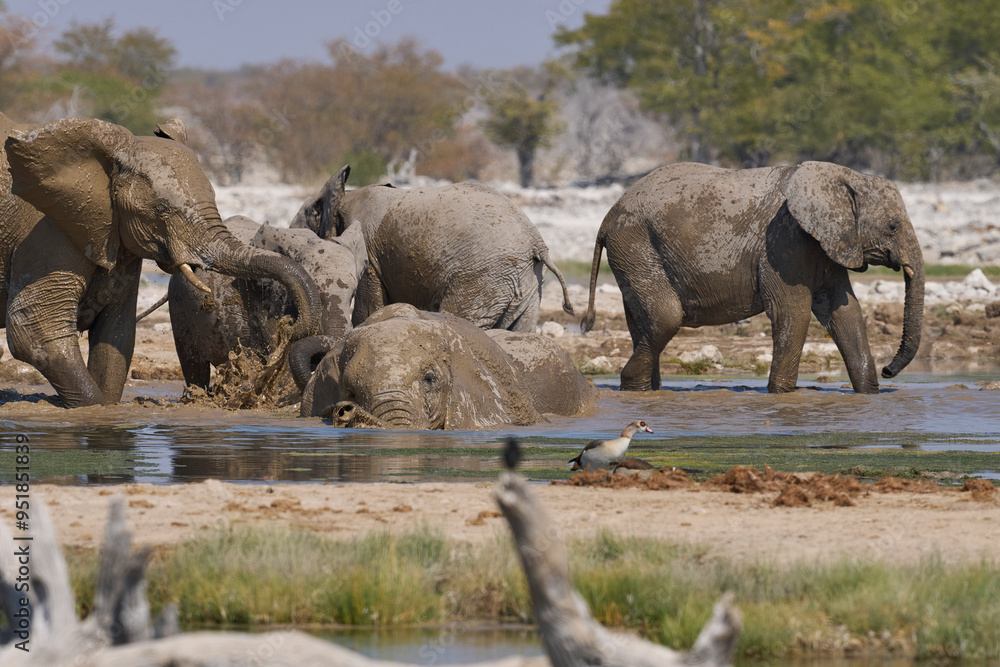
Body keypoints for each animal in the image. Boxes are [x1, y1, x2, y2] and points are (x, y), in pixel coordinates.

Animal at [0, 114, 322, 407]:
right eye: (162, 209)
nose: (291, 325)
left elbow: (116, 335)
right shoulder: (48, 229)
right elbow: (36, 333)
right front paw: (94, 411)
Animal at [167, 216, 364, 389]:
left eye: (353, 294)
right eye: (317, 294)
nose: (289, 323)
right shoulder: (263, 301)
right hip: (179, 307)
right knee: (194, 367)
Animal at [289, 165, 575, 331]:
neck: (345, 196)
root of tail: (537, 243)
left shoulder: (370, 256)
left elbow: (368, 311)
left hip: (484, 279)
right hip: (526, 285)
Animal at [581, 161, 924, 394]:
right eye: (893, 226)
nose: (888, 370)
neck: (844, 178)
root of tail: (610, 213)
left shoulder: (828, 244)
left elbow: (846, 313)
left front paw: (868, 393)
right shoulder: (784, 241)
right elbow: (794, 312)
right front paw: (781, 395)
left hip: (633, 253)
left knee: (644, 322)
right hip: (636, 244)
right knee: (666, 316)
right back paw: (631, 387)